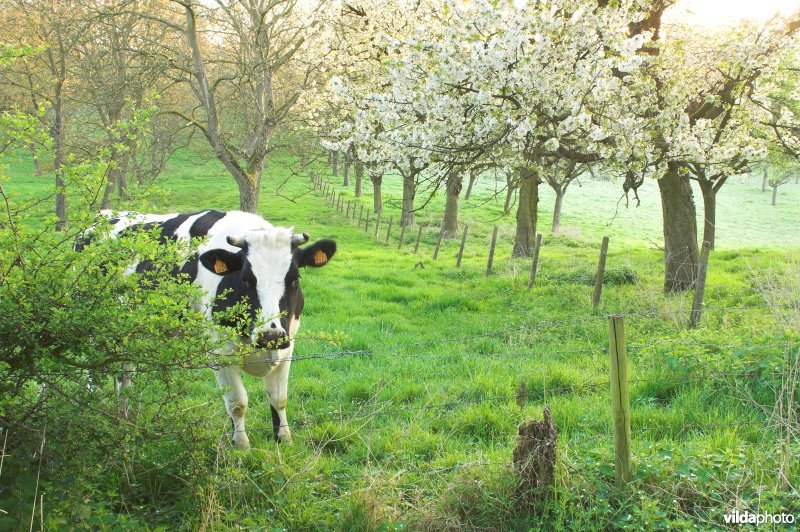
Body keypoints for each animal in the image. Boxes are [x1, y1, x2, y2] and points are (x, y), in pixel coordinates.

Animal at [83, 209, 338, 448]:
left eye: (294, 278)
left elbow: (279, 398)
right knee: (93, 370)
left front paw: (284, 440)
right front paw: (241, 446)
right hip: (94, 327)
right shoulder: (220, 354)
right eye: (246, 279)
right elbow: (237, 403)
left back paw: (126, 413)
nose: (270, 335)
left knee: (125, 373)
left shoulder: (286, 348)